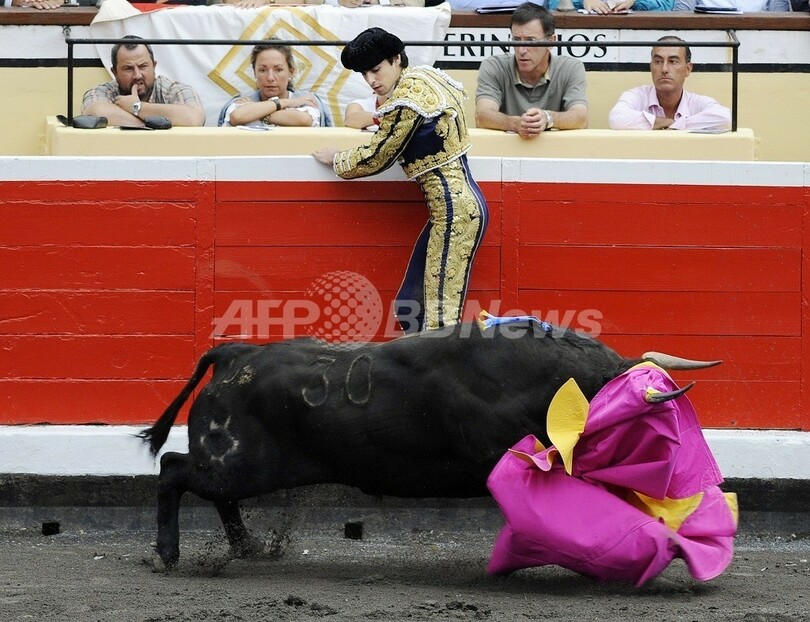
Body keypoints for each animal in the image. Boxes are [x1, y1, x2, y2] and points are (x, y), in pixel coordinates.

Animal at [140, 318, 720, 569]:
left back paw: (246, 548)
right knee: (173, 470)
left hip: (239, 465)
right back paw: (169, 554)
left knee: (212, 493)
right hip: (232, 461)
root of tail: (235, 354)